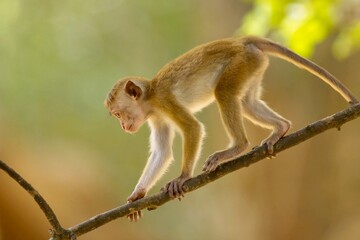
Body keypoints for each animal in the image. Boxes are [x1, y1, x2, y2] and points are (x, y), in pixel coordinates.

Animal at [103, 35, 358, 221]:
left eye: (118, 113)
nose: (124, 126)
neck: (151, 95)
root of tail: (240, 41)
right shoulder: (156, 116)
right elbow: (163, 152)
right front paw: (138, 195)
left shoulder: (165, 101)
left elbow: (193, 128)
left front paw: (183, 177)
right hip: (253, 64)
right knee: (245, 101)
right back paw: (280, 128)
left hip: (240, 62)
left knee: (224, 94)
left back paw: (239, 146)